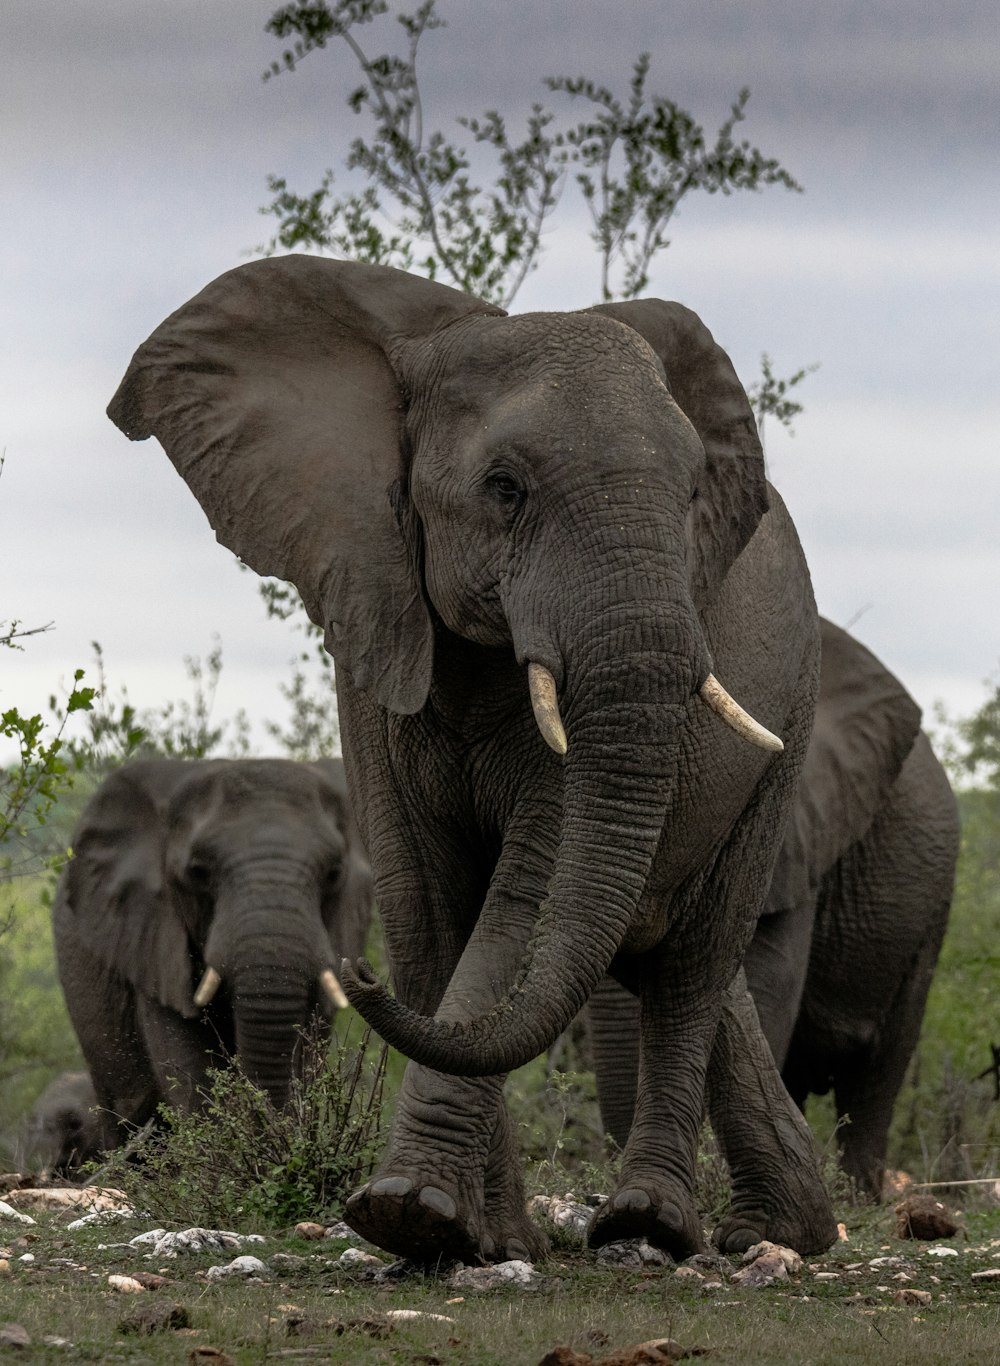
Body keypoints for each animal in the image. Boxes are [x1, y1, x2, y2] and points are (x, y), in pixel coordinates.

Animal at [107, 254, 836, 1256]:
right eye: (504, 488)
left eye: (694, 495)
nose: (357, 973)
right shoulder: (375, 617)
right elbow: (425, 900)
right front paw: (469, 1235)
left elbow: (521, 900)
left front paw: (412, 1214)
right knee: (670, 952)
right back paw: (789, 1226)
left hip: (788, 718)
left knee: (694, 963)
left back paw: (653, 1223)